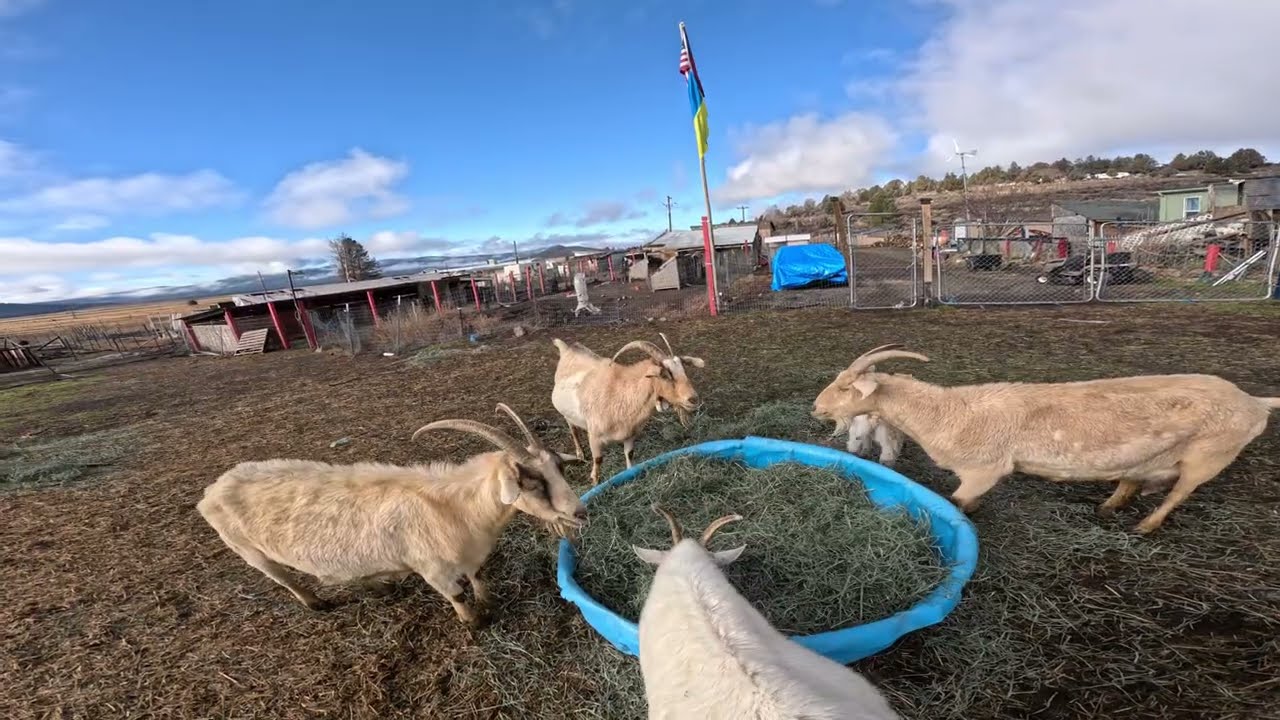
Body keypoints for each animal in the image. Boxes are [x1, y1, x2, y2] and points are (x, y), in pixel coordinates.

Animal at [196, 404, 587, 624]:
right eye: (530, 481)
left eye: (558, 468)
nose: (580, 512)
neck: (456, 506)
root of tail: (212, 491)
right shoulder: (433, 569)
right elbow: (458, 598)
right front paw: (475, 625)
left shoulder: (470, 557)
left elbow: (479, 580)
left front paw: (489, 604)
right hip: (249, 551)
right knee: (284, 579)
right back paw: (316, 604)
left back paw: (378, 585)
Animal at [551, 332, 705, 484]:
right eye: (665, 375)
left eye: (684, 370)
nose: (693, 399)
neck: (621, 396)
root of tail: (567, 349)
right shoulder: (594, 436)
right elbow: (598, 461)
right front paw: (595, 482)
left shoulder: (631, 434)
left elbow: (629, 455)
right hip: (568, 415)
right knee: (573, 430)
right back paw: (580, 454)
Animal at [813, 344, 1280, 534]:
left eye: (846, 387)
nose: (816, 408)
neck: (948, 412)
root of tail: (1255, 402)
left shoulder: (982, 469)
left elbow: (958, 502)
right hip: (1154, 456)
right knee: (1133, 479)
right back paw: (1109, 507)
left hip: (1210, 456)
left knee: (1179, 493)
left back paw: (1145, 526)